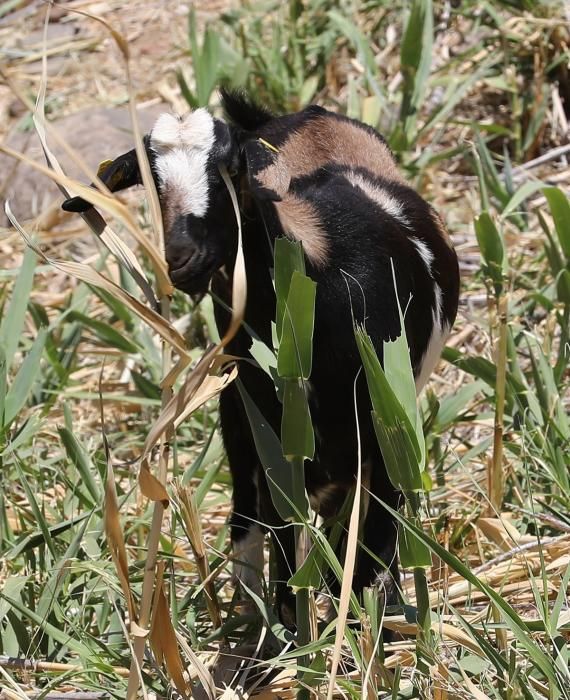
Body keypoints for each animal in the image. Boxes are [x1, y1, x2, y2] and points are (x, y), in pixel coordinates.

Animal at [64, 91, 460, 624]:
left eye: (232, 168)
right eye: (150, 177)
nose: (182, 259)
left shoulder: (385, 413)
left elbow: (374, 529)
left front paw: (375, 613)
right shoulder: (271, 423)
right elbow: (283, 521)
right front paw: (296, 621)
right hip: (238, 404)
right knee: (250, 509)